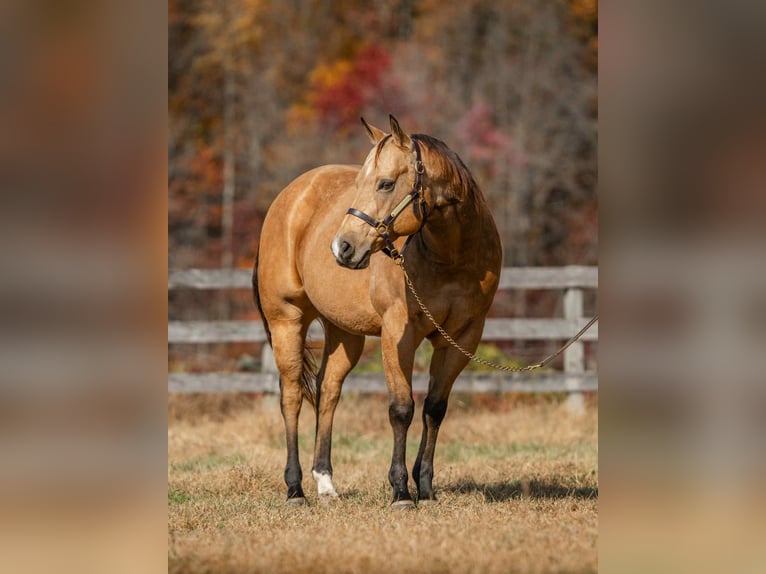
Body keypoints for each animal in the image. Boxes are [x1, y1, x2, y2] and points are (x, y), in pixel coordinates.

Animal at [253, 115, 502, 508]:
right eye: (359, 184)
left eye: (385, 183)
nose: (342, 247)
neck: (450, 258)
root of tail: (289, 196)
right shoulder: (398, 332)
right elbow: (401, 408)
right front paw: (401, 491)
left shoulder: (463, 337)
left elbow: (434, 408)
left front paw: (425, 488)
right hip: (287, 320)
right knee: (292, 396)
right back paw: (295, 489)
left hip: (344, 333)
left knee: (328, 391)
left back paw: (325, 484)